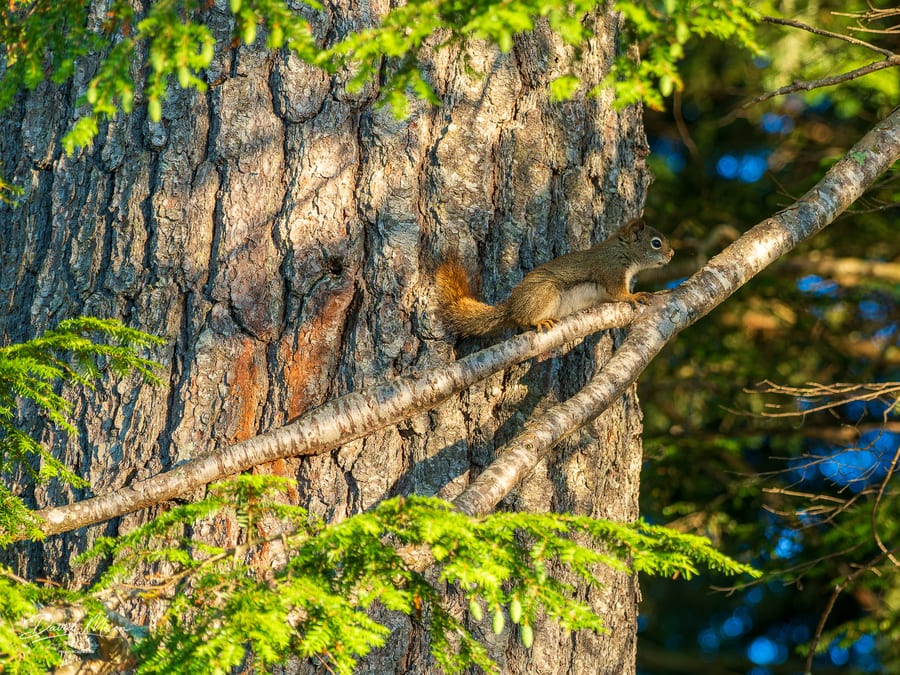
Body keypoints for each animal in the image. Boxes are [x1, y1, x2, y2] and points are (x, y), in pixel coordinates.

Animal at [434, 218, 674, 337]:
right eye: (656, 243)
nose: (672, 254)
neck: (623, 250)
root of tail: (512, 305)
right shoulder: (611, 268)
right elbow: (618, 292)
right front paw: (634, 296)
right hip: (545, 291)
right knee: (524, 318)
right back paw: (538, 320)